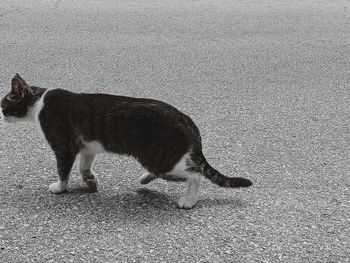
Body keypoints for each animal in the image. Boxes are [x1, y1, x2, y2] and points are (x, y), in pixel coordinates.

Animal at [0, 75, 252, 210]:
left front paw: (60, 188)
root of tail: (186, 120)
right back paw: (144, 179)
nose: (1, 116)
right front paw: (90, 180)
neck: (39, 101)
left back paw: (188, 200)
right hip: (159, 159)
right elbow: (84, 166)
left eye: (3, 104)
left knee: (196, 173)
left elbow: (63, 171)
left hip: (163, 160)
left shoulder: (64, 147)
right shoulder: (88, 147)